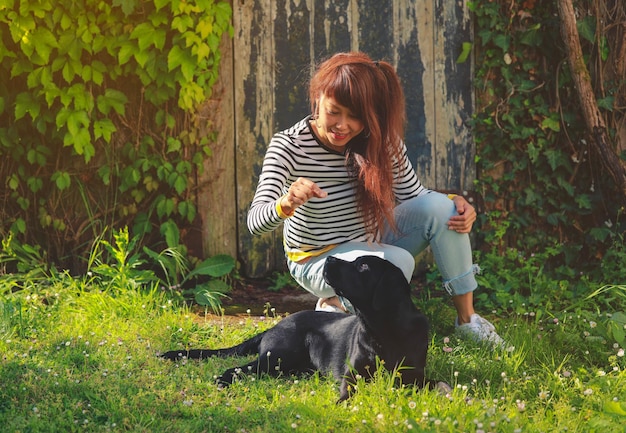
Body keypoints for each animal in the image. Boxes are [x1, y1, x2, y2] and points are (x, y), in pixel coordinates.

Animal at [158, 255, 446, 400]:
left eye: (364, 265)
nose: (329, 258)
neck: (383, 329)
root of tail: (275, 325)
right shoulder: (353, 375)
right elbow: (348, 393)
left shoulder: (414, 375)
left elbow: (440, 383)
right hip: (277, 357)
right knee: (237, 368)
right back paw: (222, 381)